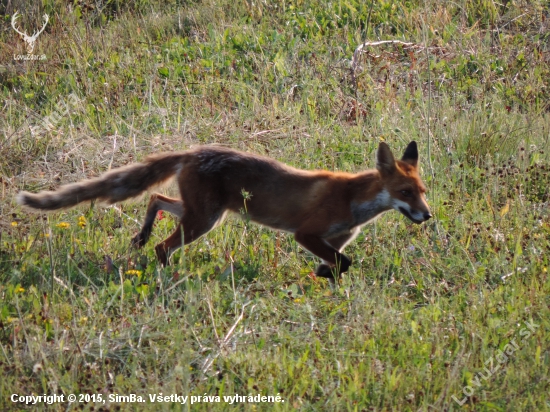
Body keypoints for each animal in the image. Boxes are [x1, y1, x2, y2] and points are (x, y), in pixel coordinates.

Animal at [16, 142, 432, 280]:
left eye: (423, 193)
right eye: (405, 192)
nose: (428, 216)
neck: (353, 202)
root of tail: (194, 151)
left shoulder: (336, 239)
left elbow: (338, 262)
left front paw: (321, 275)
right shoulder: (308, 233)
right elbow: (344, 263)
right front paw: (325, 275)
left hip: (199, 213)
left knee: (156, 200)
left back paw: (142, 234)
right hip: (204, 221)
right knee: (164, 247)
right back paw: (168, 275)